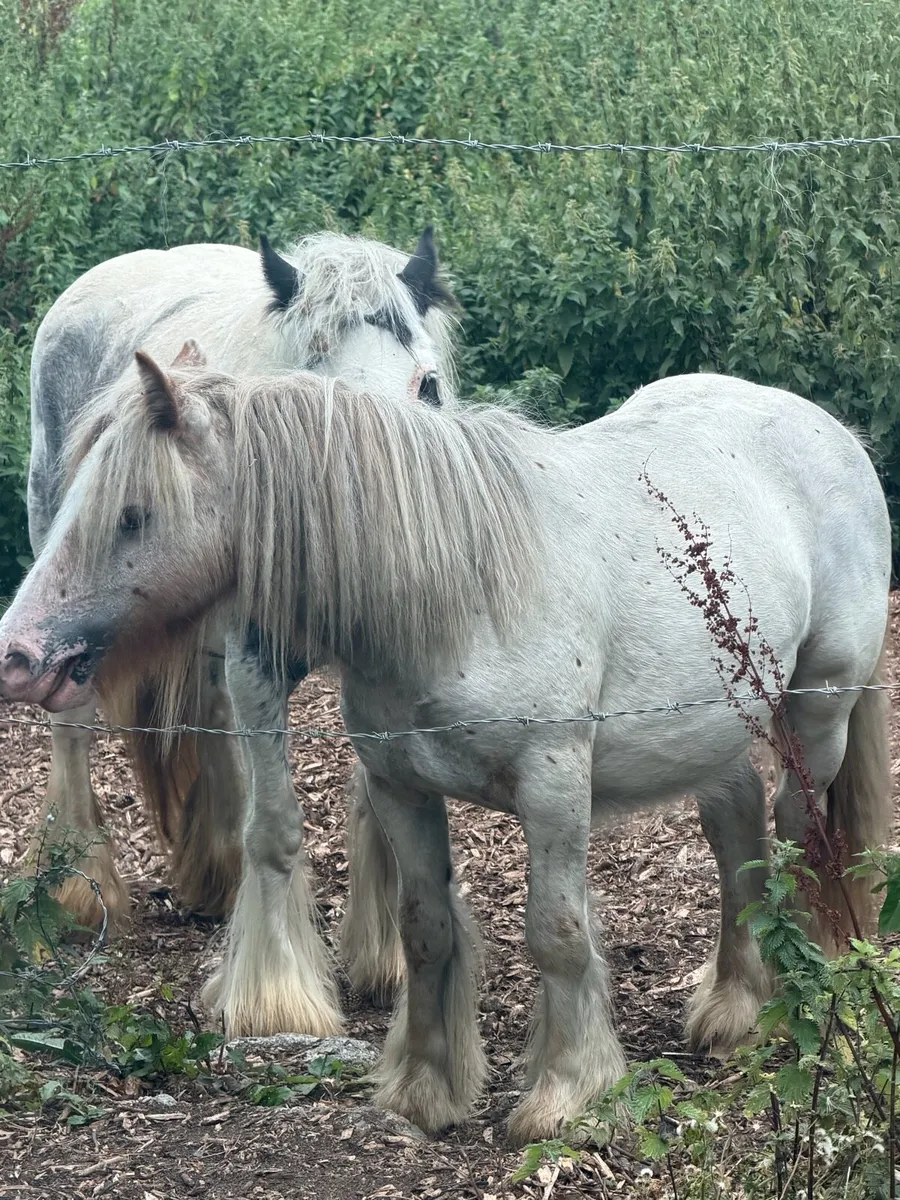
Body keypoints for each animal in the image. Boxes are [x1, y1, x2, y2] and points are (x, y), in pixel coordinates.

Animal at [0, 358, 891, 1143]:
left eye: (134, 513)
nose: (19, 653)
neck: (464, 589)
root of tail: (828, 431)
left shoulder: (553, 787)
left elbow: (558, 934)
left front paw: (566, 1094)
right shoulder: (400, 787)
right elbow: (424, 929)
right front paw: (426, 1090)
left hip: (816, 715)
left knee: (800, 835)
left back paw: (798, 999)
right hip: (713, 731)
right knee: (737, 828)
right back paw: (734, 1005)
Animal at [22, 227, 455, 1028]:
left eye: (429, 387)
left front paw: (383, 959)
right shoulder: (260, 662)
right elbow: (277, 827)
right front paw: (276, 996)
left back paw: (216, 876)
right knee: (70, 730)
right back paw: (78, 885)